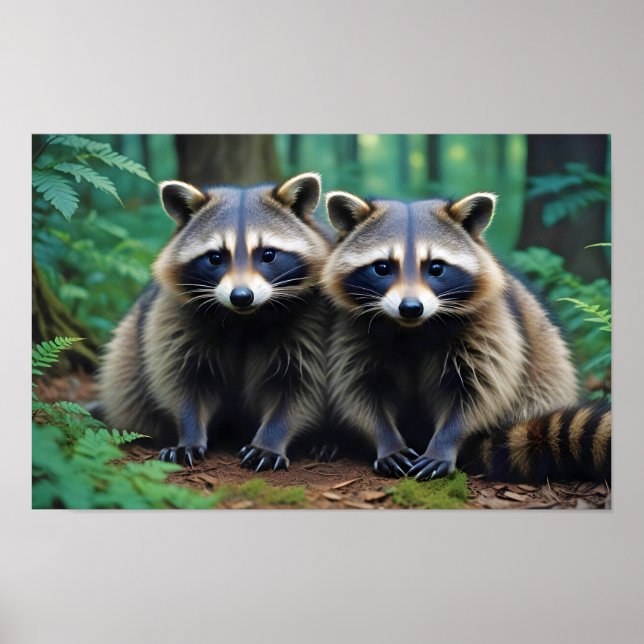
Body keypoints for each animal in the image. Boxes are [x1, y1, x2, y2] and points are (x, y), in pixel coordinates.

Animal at [99, 172, 330, 470]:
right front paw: (189, 433)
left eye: (268, 255)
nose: (241, 296)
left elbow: (300, 386)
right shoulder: (173, 317)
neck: (244, 317)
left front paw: (270, 439)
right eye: (215, 257)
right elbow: (182, 381)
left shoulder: (310, 320)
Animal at [322, 190, 611, 483]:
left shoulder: (490, 326)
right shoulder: (354, 331)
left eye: (436, 268)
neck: (413, 328)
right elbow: (360, 390)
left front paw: (445, 443)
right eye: (382, 267)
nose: (411, 307)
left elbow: (478, 392)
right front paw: (387, 440)